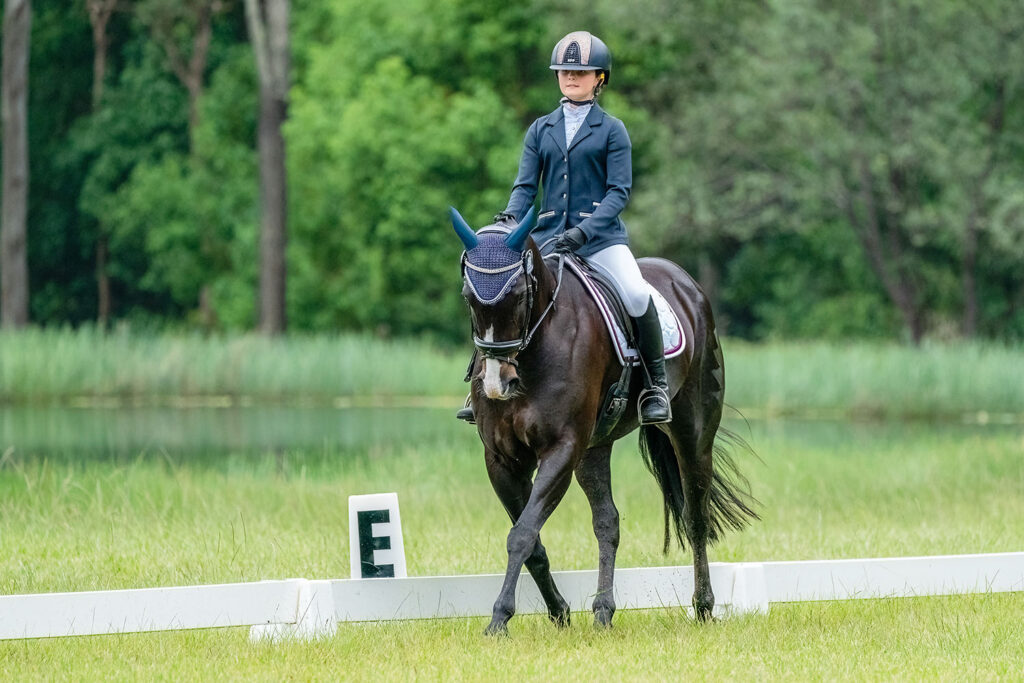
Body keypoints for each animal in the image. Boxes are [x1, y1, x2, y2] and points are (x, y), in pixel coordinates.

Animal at [450, 206, 761, 634]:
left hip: (692, 431)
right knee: (607, 522)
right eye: (468, 297)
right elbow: (532, 542)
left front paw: (499, 618)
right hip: (594, 448)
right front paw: (559, 613)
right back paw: (602, 611)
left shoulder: (561, 449)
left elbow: (523, 534)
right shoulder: (502, 459)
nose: (498, 383)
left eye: (518, 295)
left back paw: (702, 607)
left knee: (696, 515)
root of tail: (684, 281)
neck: (537, 345)